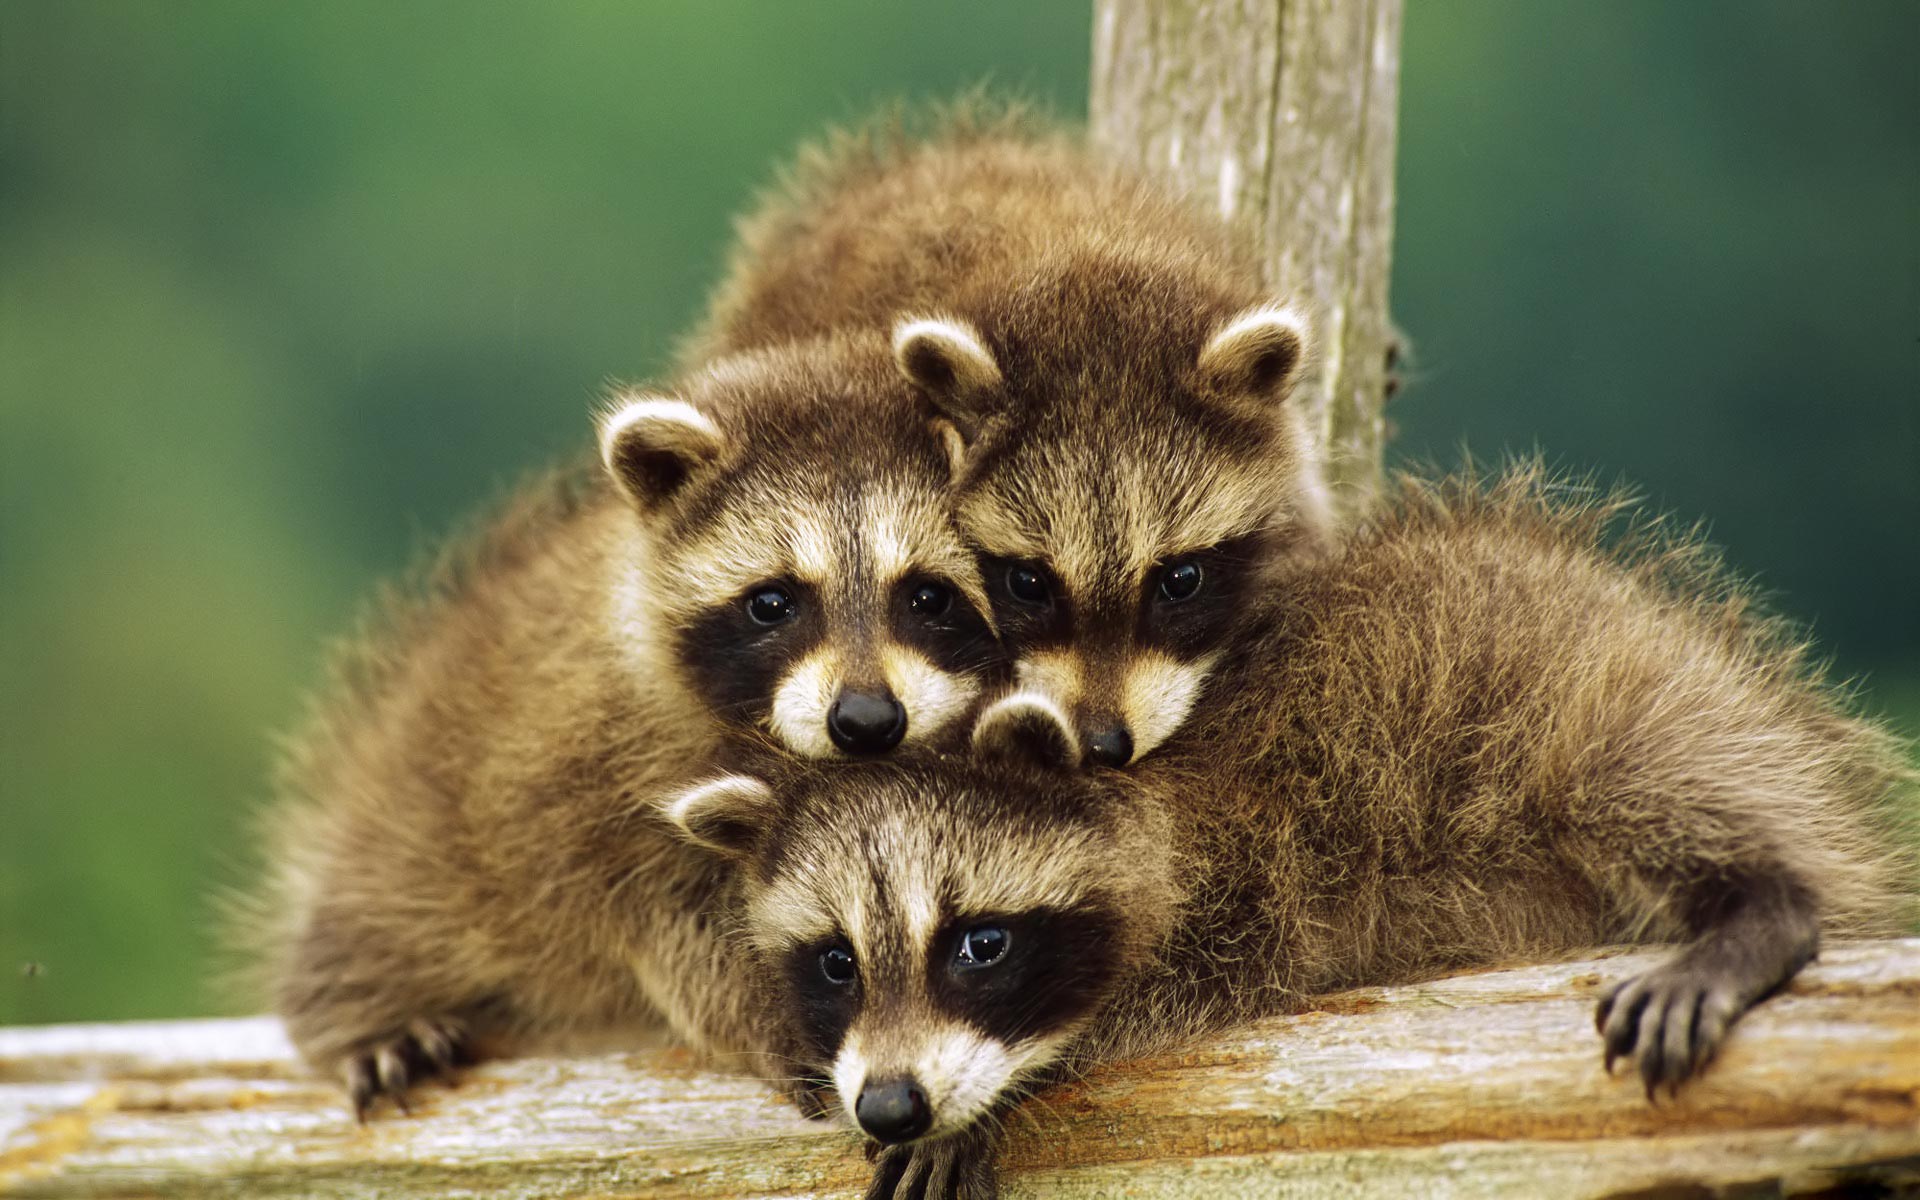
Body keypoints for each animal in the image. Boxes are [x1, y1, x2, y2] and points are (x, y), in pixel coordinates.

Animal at [251, 330, 1000, 1113]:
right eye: (773, 601)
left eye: (929, 595)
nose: (865, 719)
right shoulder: (590, 778)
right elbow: (670, 926)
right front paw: (787, 1011)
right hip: (416, 830)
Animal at [661, 465, 1910, 1199]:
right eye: (835, 963)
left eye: (978, 945)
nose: (890, 1102)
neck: (1136, 789)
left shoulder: (1254, 863)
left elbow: (1174, 985)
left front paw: (1004, 1089)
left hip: (1600, 691)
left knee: (1642, 778)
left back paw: (1766, 903)